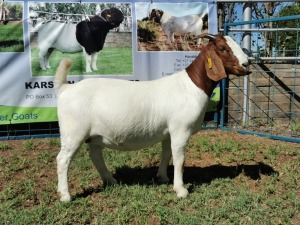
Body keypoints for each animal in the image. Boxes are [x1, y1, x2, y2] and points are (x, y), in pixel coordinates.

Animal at [54, 33, 251, 202]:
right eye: (223, 48)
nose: (247, 64)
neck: (190, 86)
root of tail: (65, 88)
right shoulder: (180, 129)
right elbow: (179, 160)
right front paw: (181, 190)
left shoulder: (168, 132)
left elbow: (167, 154)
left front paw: (162, 177)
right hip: (74, 132)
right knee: (63, 159)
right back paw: (65, 195)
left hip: (95, 135)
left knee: (95, 155)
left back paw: (111, 181)